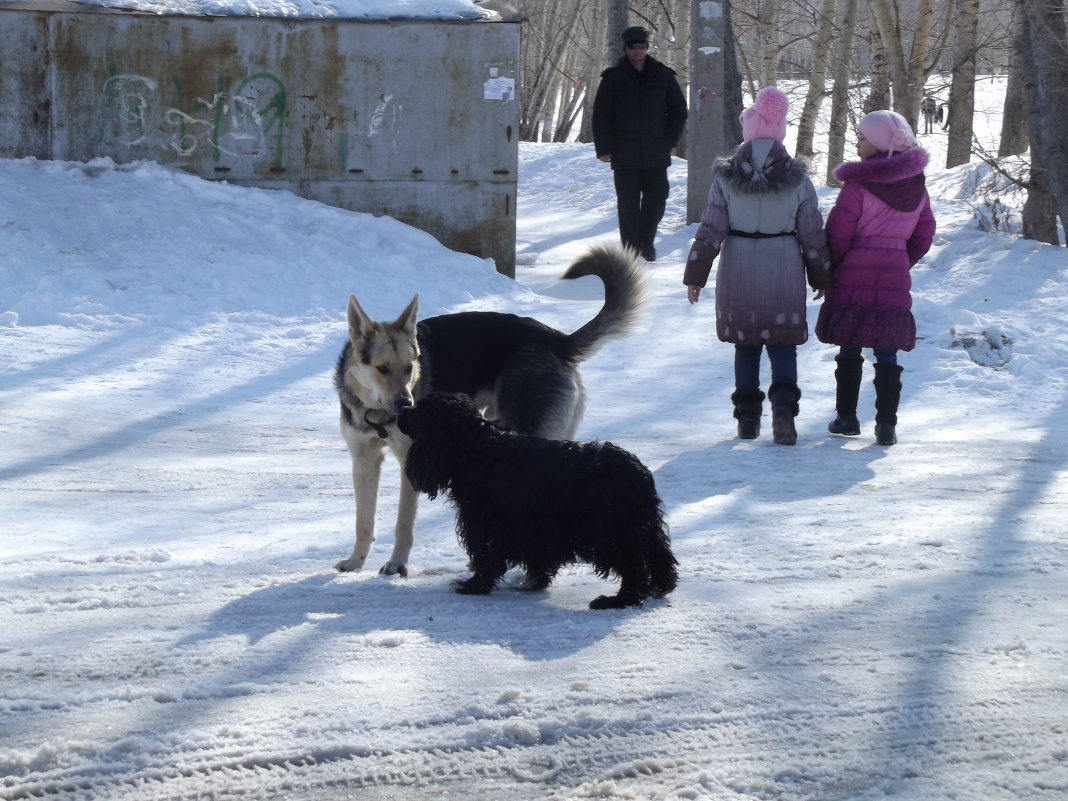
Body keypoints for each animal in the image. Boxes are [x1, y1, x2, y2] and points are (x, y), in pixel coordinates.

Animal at [393, 393, 674, 606]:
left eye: (419, 411)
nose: (400, 411)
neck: (474, 449)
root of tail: (639, 473)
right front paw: (534, 582)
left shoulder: (484, 523)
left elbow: (486, 556)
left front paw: (474, 586)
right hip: (644, 526)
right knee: (661, 556)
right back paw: (661, 587)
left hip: (610, 532)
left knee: (635, 568)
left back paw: (616, 600)